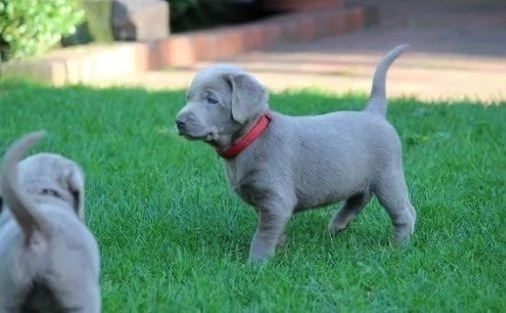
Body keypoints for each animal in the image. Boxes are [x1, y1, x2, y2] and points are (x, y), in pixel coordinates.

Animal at [176, 44, 418, 264]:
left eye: (211, 100)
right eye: (188, 98)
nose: (179, 121)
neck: (252, 139)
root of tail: (373, 113)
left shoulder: (275, 200)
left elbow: (263, 235)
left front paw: (256, 264)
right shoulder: (267, 204)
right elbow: (275, 230)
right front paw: (280, 248)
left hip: (388, 175)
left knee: (404, 212)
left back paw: (399, 246)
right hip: (358, 175)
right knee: (361, 196)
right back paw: (338, 225)